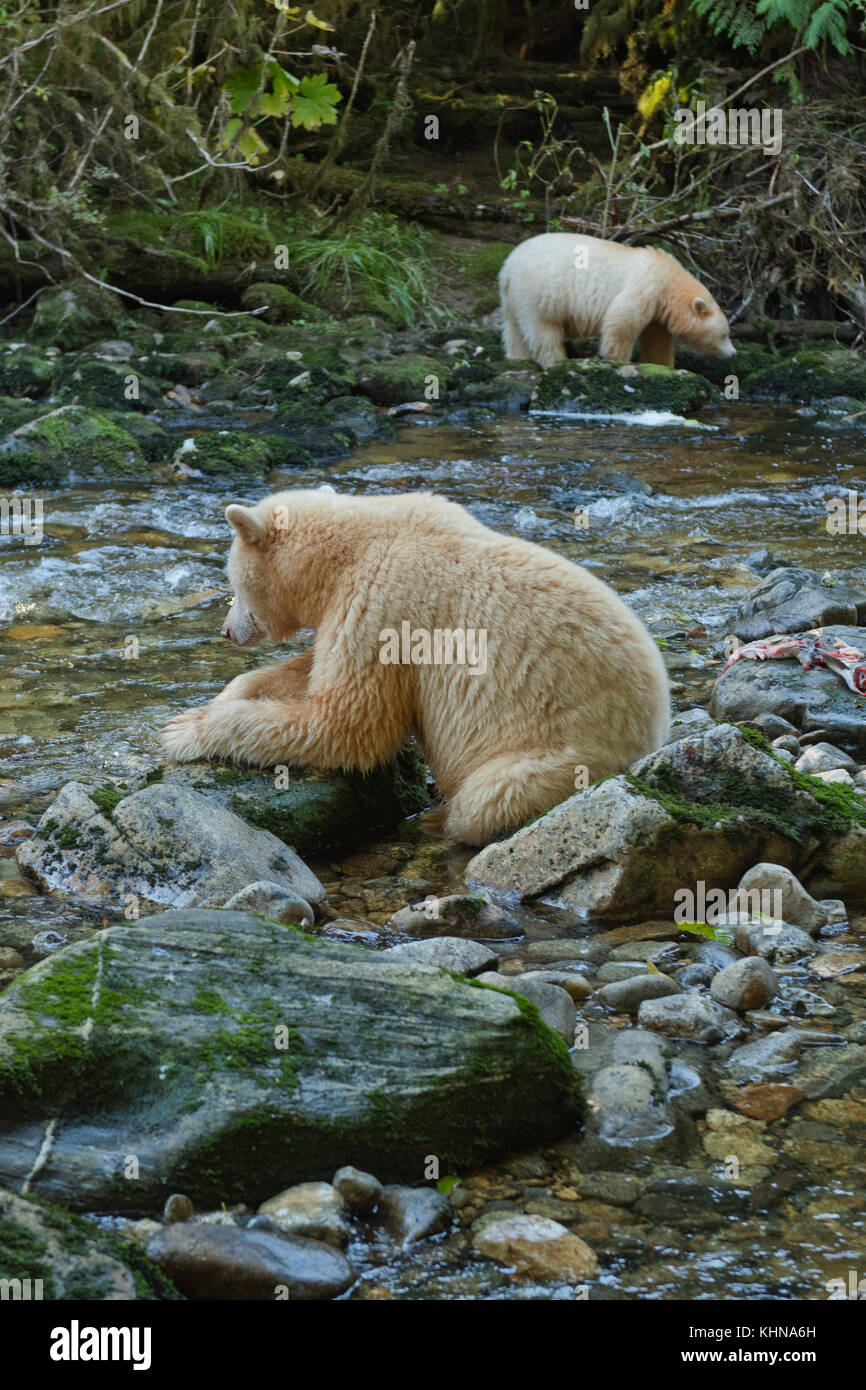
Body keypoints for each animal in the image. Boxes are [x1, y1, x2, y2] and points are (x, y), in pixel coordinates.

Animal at [164, 494, 678, 850]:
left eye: (231, 580)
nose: (227, 630)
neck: (351, 546)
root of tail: (652, 731)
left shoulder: (385, 606)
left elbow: (348, 722)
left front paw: (184, 730)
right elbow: (310, 674)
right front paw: (230, 693)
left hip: (564, 754)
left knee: (487, 798)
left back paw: (440, 821)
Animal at [497, 232, 733, 369]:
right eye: (724, 334)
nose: (733, 353)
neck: (670, 280)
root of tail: (507, 268)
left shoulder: (659, 310)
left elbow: (657, 341)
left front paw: (662, 366)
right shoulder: (646, 285)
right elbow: (622, 321)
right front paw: (617, 360)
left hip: (513, 299)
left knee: (515, 332)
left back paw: (518, 359)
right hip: (536, 293)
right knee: (543, 334)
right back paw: (557, 361)